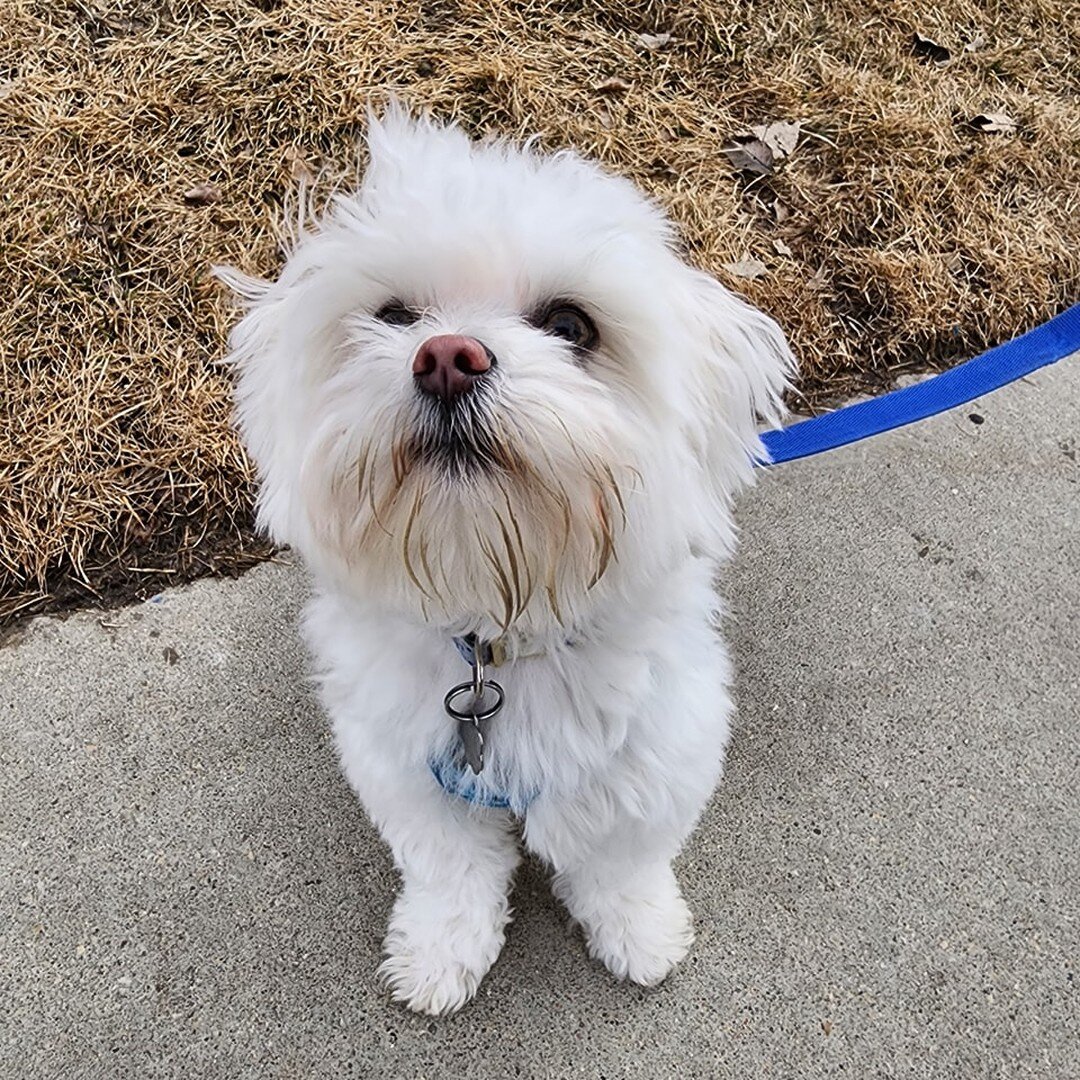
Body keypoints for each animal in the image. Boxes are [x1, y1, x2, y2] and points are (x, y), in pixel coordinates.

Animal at [217, 105, 794, 1015]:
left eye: (570, 326)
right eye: (395, 317)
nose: (447, 357)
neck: (501, 617)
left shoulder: (657, 744)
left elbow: (621, 857)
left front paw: (640, 930)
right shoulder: (410, 767)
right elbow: (450, 868)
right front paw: (439, 951)